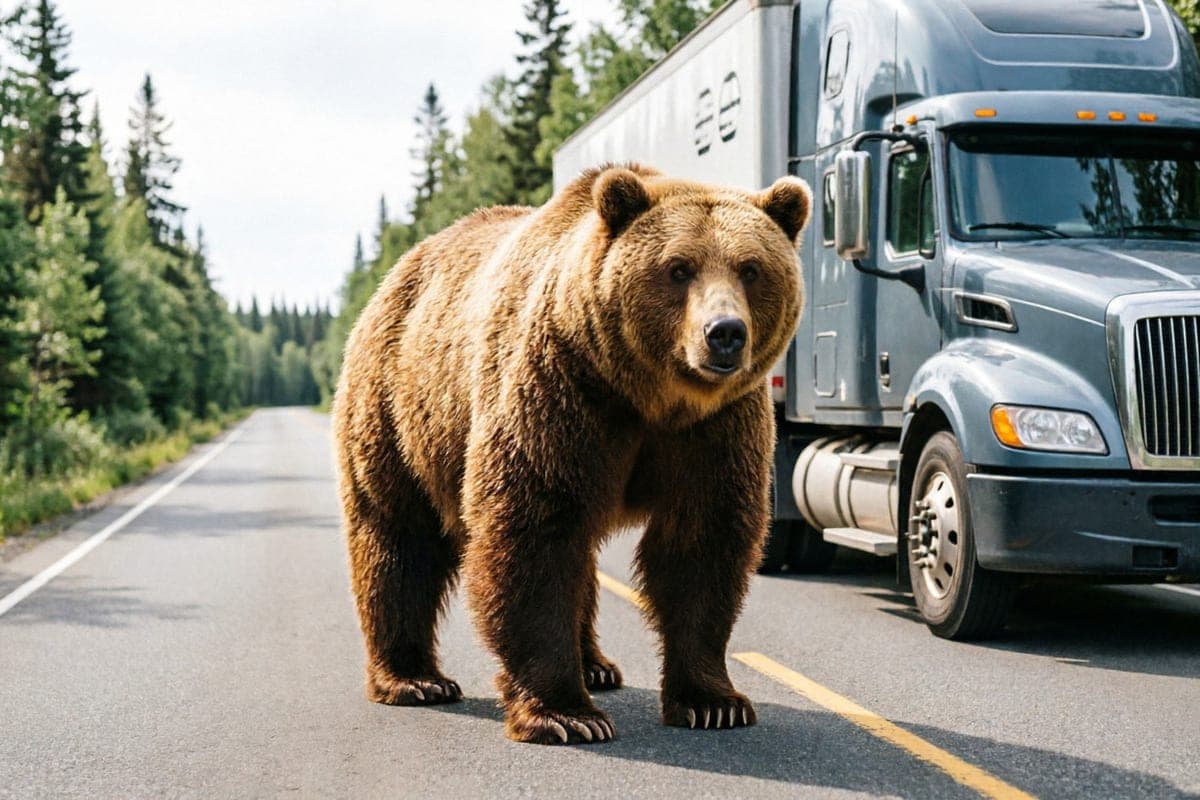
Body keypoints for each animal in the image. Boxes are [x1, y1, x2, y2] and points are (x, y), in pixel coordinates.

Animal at [333, 163, 810, 745]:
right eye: (678, 268)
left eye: (751, 269)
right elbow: (534, 531)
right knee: (400, 537)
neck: (650, 396)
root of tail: (399, 271)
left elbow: (703, 540)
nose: (724, 334)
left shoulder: (716, 426)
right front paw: (565, 713)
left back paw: (596, 665)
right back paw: (414, 679)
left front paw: (713, 702)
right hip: (400, 406)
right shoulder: (561, 390)